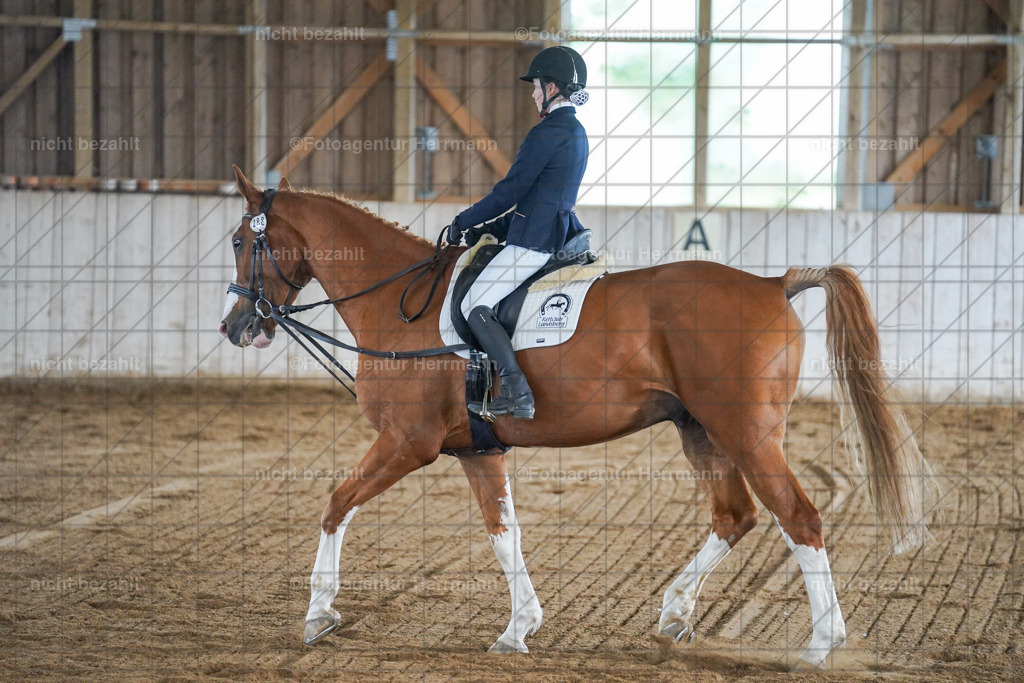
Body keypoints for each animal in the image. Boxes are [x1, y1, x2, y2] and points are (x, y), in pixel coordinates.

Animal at [219, 166, 938, 669]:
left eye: (238, 240)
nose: (235, 325)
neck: (400, 302)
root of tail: (771, 283)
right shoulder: (477, 449)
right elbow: (502, 532)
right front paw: (519, 628)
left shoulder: (406, 441)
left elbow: (336, 502)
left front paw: (318, 613)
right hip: (702, 432)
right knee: (736, 516)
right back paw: (675, 612)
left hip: (748, 434)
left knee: (800, 517)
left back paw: (820, 644)